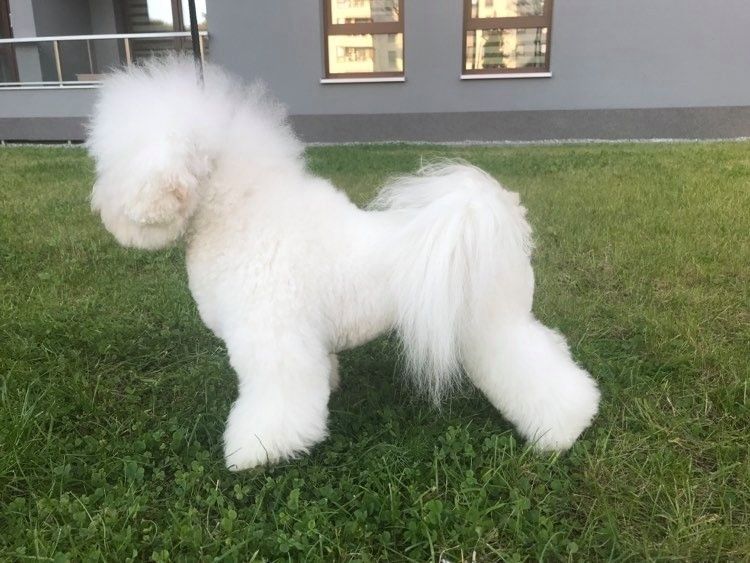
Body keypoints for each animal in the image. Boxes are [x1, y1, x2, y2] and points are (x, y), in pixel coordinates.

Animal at [87, 58, 600, 471]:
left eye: (116, 165)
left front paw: (255, 452)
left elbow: (275, 404)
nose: (100, 207)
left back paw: (562, 431)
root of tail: (493, 215)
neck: (242, 216)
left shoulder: (273, 342)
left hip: (487, 326)